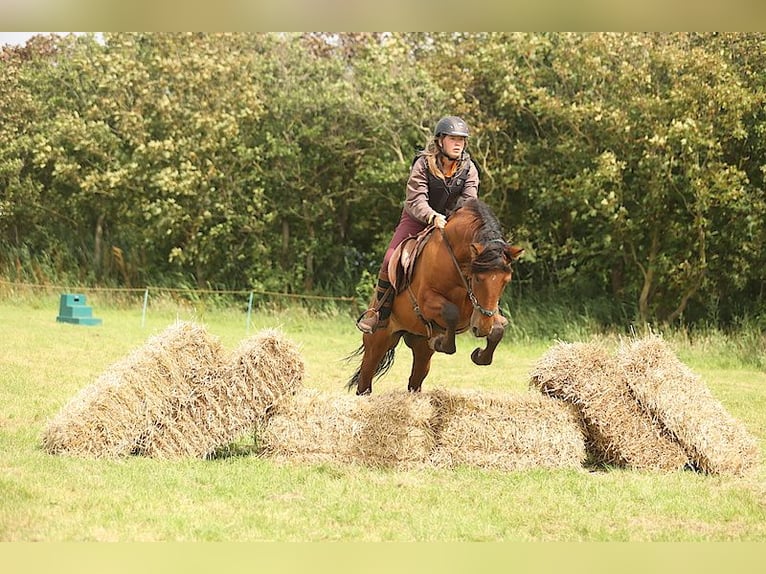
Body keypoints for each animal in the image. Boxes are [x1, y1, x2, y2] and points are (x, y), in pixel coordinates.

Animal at [352, 198, 524, 396]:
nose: (482, 329)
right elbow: (451, 312)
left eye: (506, 281)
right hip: (378, 341)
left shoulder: (480, 307)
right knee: (365, 379)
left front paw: (480, 355)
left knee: (415, 380)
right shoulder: (426, 301)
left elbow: (498, 328)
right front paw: (441, 343)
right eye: (478, 278)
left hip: (420, 347)